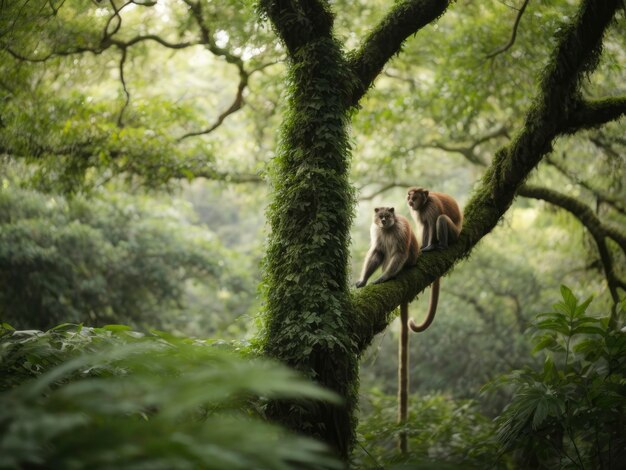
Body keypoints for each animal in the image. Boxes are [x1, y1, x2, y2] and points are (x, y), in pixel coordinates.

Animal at [402, 185, 460, 332]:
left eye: (414, 196)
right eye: (409, 196)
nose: (410, 200)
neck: (424, 204)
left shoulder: (432, 206)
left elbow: (433, 223)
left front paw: (429, 247)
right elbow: (425, 226)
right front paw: (423, 246)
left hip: (454, 234)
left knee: (441, 219)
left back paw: (441, 245)